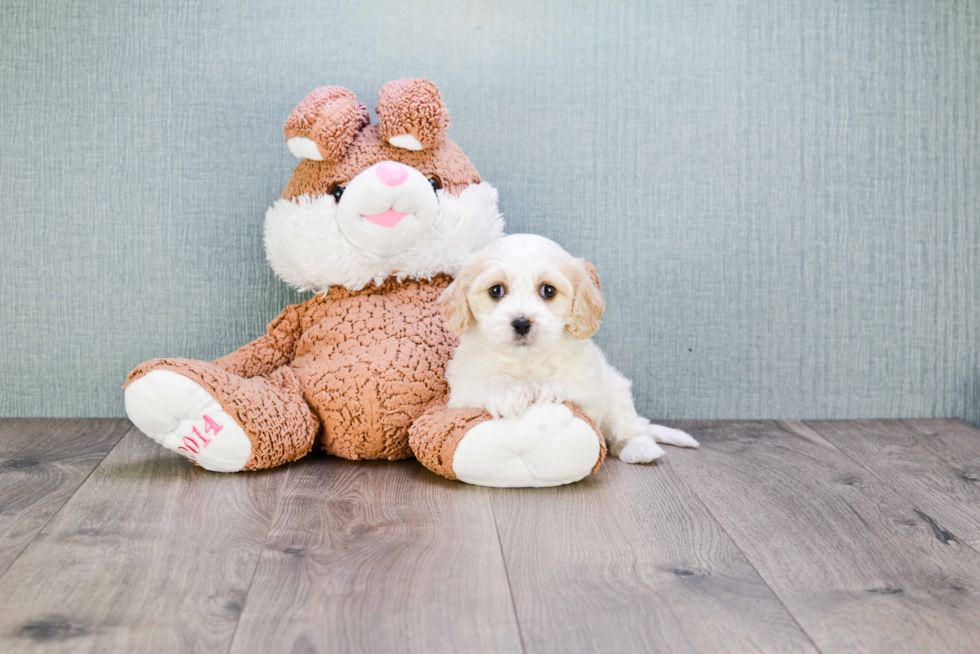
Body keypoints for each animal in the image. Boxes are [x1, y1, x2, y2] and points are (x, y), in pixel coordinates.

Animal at [440, 233, 700, 464]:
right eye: (496, 290)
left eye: (548, 290)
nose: (522, 323)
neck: (526, 361)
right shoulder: (462, 388)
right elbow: (487, 381)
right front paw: (509, 392)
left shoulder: (588, 383)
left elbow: (568, 381)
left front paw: (545, 387)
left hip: (617, 395)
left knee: (631, 427)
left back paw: (641, 449)